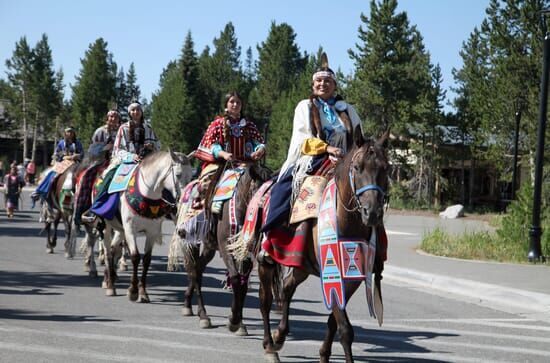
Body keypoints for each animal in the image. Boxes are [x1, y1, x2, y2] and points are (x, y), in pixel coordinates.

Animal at [101, 150, 194, 302]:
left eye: (191, 176)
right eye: (178, 174)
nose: (184, 199)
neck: (147, 194)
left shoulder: (151, 232)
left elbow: (146, 260)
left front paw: (143, 292)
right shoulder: (130, 230)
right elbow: (135, 257)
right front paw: (133, 291)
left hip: (120, 230)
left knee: (114, 249)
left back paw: (111, 279)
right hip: (107, 226)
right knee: (107, 251)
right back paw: (109, 285)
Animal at [171, 162, 272, 336]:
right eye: (260, 195)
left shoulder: (245, 252)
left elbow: (243, 285)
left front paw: (238, 322)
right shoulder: (226, 247)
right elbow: (236, 279)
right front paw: (234, 321)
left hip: (209, 248)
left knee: (198, 270)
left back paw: (188, 304)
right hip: (189, 242)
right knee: (194, 271)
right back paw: (203, 316)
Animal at [231, 131, 390, 363]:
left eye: (385, 168)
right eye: (357, 167)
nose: (372, 213)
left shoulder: (352, 278)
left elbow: (334, 321)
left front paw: (323, 355)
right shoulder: (331, 270)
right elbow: (345, 328)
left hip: (301, 266)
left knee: (287, 287)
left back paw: (280, 335)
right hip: (265, 263)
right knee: (265, 300)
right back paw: (270, 345)